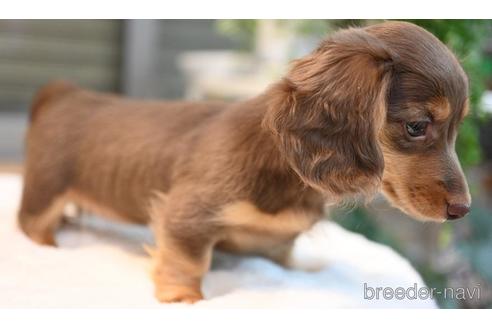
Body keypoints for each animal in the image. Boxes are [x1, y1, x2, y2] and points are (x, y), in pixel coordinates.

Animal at [19, 20, 470, 302]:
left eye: (457, 129)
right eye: (416, 126)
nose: (462, 211)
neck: (286, 171)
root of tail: (66, 93)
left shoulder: (275, 246)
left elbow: (285, 261)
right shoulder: (186, 214)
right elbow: (188, 260)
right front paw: (185, 300)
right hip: (44, 191)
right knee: (32, 225)